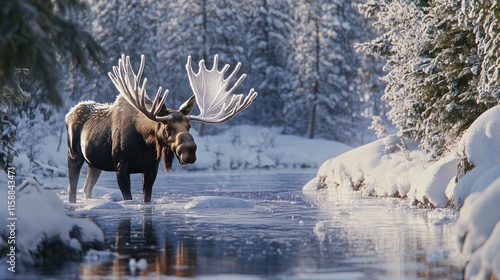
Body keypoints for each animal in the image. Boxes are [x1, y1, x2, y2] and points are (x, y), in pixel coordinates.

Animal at [65, 54, 258, 202]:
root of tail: (68, 113)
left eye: (189, 126)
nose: (189, 151)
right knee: (72, 188)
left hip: (94, 163)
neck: (145, 143)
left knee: (87, 188)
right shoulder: (121, 165)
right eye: (168, 127)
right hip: (74, 155)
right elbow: (128, 198)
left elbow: (147, 199)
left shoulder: (151, 168)